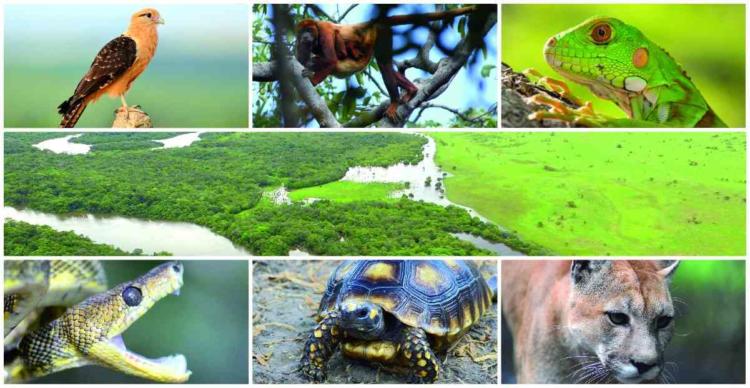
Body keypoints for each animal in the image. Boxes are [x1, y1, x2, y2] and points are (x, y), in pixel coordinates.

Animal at [296, 6, 478, 120]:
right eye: (302, 32)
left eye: (309, 30)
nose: (306, 36)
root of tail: (372, 22)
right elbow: (302, 60)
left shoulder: (325, 32)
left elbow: (331, 60)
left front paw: (312, 80)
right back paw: (412, 90)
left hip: (380, 33)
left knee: (383, 66)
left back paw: (395, 102)